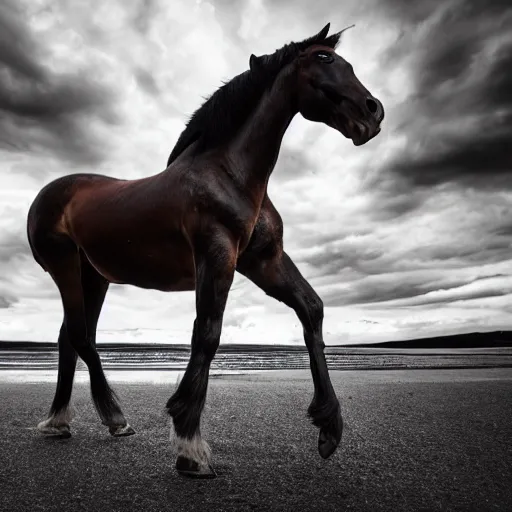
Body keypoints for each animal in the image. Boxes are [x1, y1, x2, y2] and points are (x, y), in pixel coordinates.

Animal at [26, 23, 382, 480]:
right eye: (324, 58)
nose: (373, 112)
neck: (229, 172)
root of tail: (48, 193)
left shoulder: (264, 261)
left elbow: (312, 309)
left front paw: (329, 426)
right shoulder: (217, 256)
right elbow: (208, 333)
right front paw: (189, 445)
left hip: (96, 277)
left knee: (70, 337)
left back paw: (62, 421)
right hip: (65, 266)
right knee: (80, 336)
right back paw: (113, 418)